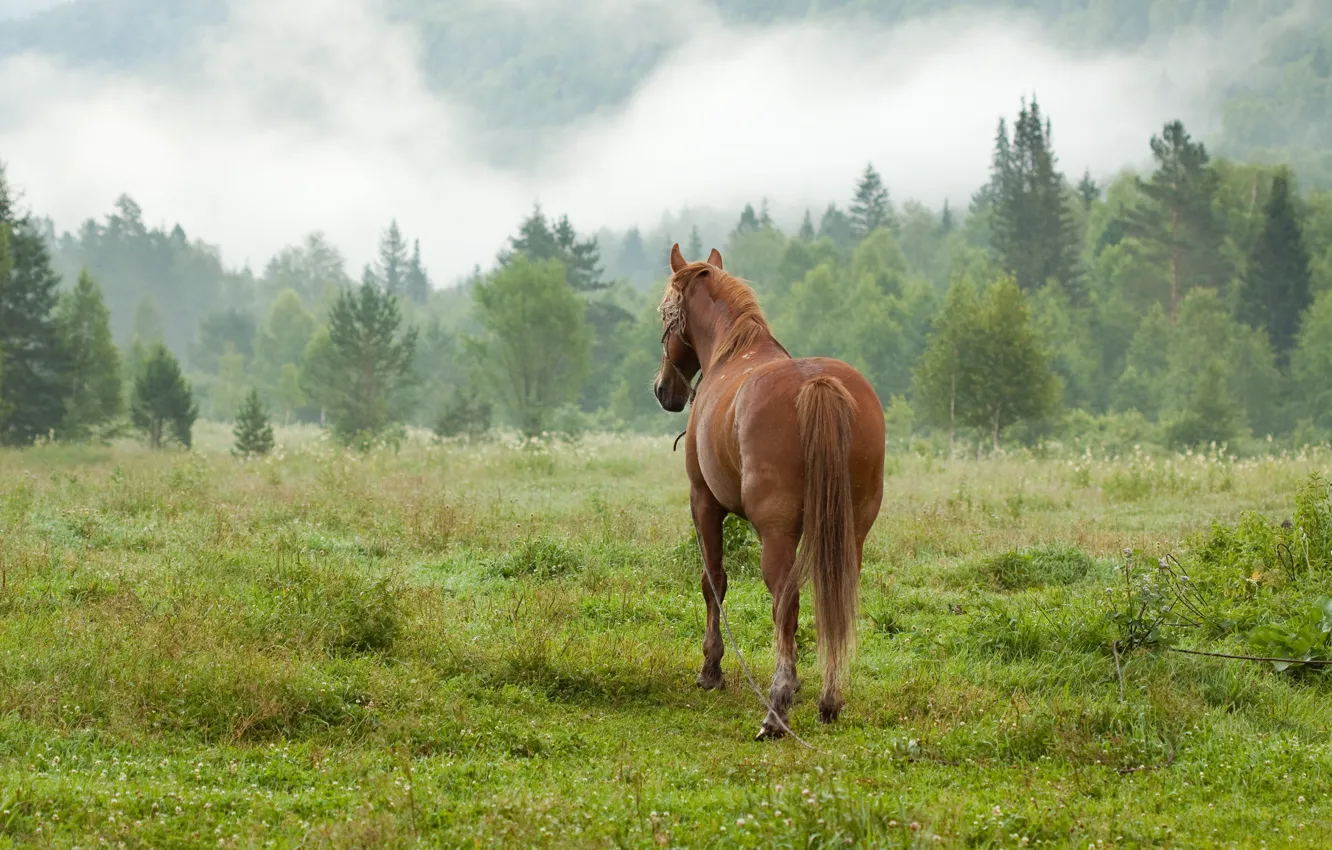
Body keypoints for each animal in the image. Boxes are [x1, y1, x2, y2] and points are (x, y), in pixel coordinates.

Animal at [653, 243, 886, 740]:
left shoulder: (703, 503)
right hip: (852, 530)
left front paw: (711, 670)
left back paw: (777, 708)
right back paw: (829, 699)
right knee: (836, 599)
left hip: (776, 534)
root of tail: (818, 385)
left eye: (665, 313)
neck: (732, 353)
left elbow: (713, 581)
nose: (665, 390)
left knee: (786, 601)